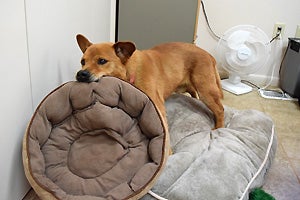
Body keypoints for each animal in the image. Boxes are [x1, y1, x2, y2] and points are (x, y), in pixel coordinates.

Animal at [76, 34, 224, 128]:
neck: (131, 71)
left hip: (206, 91)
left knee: (220, 110)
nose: (81, 74)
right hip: (191, 87)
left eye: (102, 61)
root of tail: (209, 55)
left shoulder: (157, 106)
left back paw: (218, 128)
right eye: (83, 62)